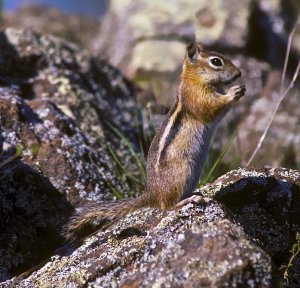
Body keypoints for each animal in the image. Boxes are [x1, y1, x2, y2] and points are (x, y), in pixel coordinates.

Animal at [64, 42, 245, 241]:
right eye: (216, 61)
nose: (239, 74)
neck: (194, 79)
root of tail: (152, 193)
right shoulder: (197, 97)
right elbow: (211, 107)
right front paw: (233, 92)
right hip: (182, 172)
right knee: (167, 206)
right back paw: (188, 200)